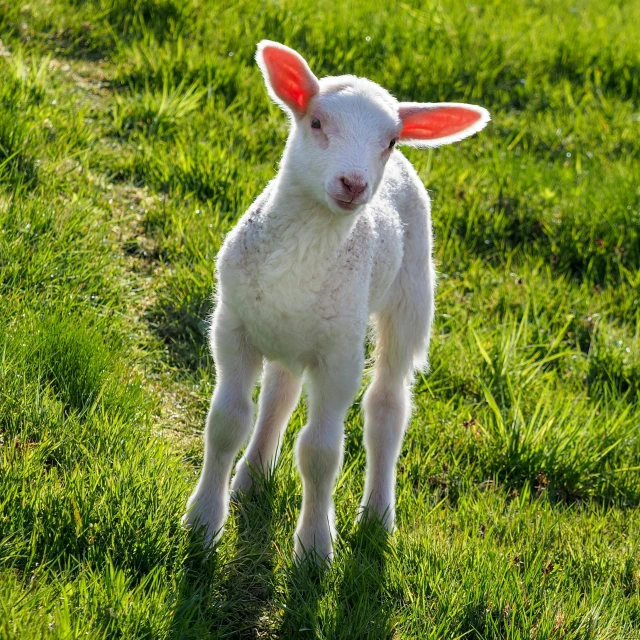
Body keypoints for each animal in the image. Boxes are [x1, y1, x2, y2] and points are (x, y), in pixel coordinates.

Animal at [182, 40, 492, 564]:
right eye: (317, 122)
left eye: (390, 141)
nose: (354, 184)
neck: (302, 254)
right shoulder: (232, 327)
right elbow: (226, 422)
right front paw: (203, 521)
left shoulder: (340, 356)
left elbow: (320, 453)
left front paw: (314, 548)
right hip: (289, 332)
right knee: (281, 390)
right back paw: (253, 475)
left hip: (411, 295)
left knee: (386, 405)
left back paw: (378, 515)